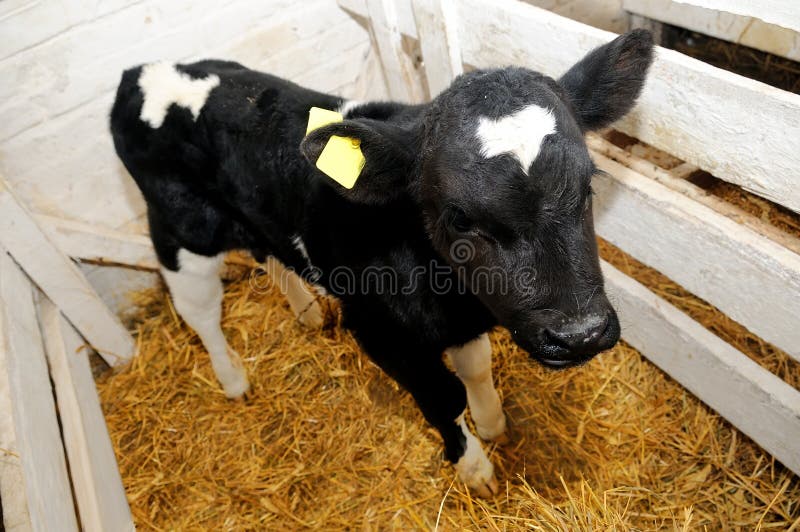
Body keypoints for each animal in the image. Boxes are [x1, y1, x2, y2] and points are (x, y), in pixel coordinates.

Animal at [110, 29, 654, 497]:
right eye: (459, 216)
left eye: (588, 185)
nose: (579, 334)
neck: (453, 296)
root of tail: (140, 71)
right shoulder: (381, 333)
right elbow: (442, 397)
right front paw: (475, 467)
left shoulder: (463, 319)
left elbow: (476, 369)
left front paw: (493, 422)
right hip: (180, 232)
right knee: (200, 312)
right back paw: (233, 379)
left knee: (270, 255)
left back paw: (305, 311)